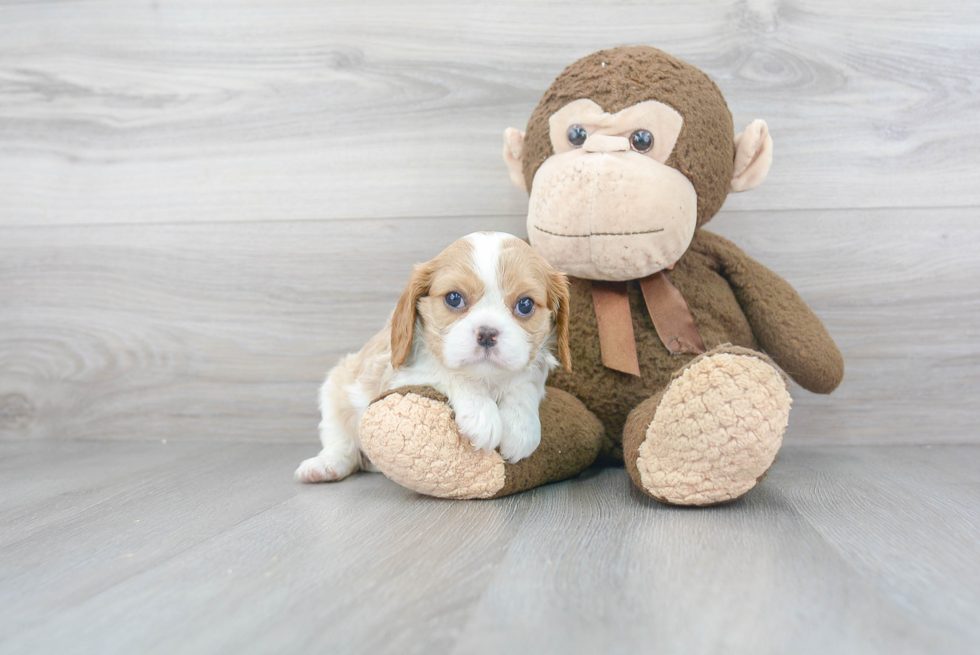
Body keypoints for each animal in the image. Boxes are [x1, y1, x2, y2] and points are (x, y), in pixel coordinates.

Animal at [294, 231, 572, 482]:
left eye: (525, 305)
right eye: (454, 298)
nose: (487, 333)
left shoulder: (534, 367)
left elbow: (525, 382)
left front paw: (520, 428)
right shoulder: (399, 373)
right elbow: (448, 372)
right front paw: (482, 415)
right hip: (335, 390)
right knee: (341, 443)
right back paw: (325, 466)